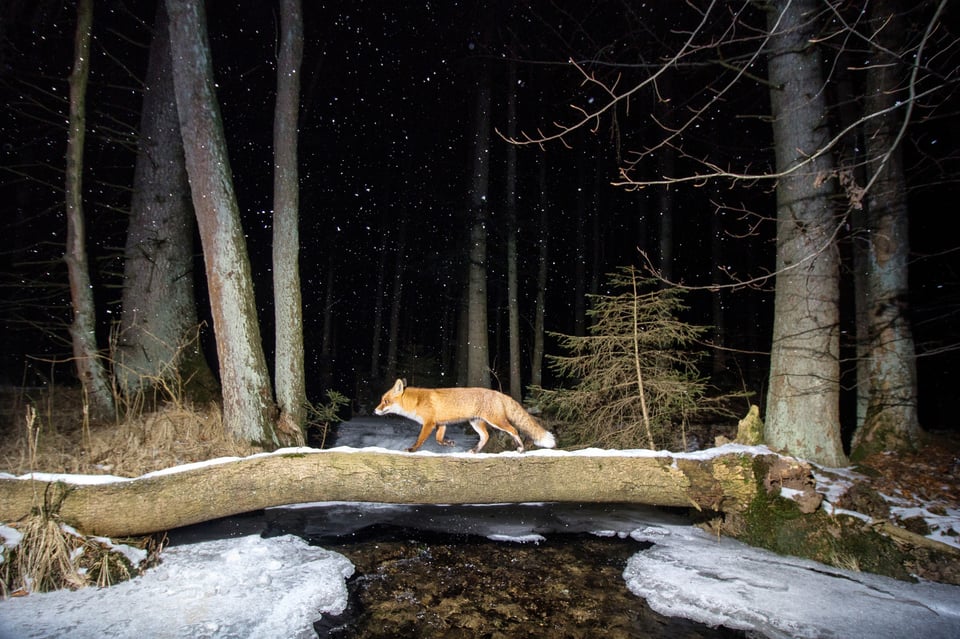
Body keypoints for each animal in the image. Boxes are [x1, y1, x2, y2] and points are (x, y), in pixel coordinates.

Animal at [374, 380, 556, 456]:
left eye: (385, 401)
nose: (375, 410)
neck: (416, 402)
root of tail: (499, 393)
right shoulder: (441, 424)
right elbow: (439, 440)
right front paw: (448, 443)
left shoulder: (429, 423)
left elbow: (420, 440)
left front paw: (412, 450)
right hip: (476, 423)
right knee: (486, 436)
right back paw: (474, 451)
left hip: (496, 421)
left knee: (514, 430)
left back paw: (521, 448)